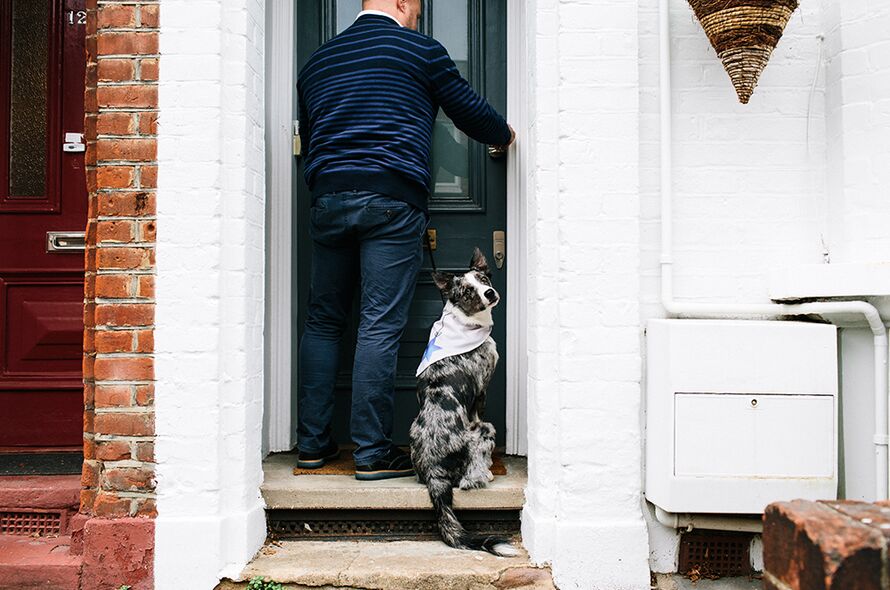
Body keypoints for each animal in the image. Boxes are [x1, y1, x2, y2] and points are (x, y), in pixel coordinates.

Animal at [408, 250, 516, 560]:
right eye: (468, 291)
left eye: (483, 279)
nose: (490, 293)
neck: (464, 323)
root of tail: (433, 468)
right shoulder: (481, 391)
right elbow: (477, 411)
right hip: (485, 431)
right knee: (470, 477)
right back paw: (486, 473)